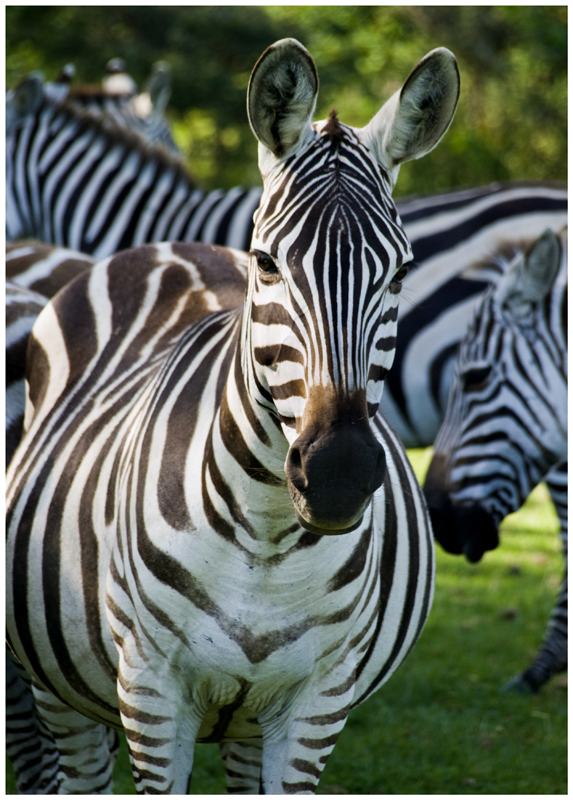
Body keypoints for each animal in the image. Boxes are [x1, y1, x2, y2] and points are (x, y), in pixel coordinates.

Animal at [4, 37, 460, 792]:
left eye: (399, 272)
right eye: (266, 262)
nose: (337, 474)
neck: (268, 537)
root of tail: (168, 244)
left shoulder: (317, 703)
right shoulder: (151, 694)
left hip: (247, 719)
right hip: (58, 685)